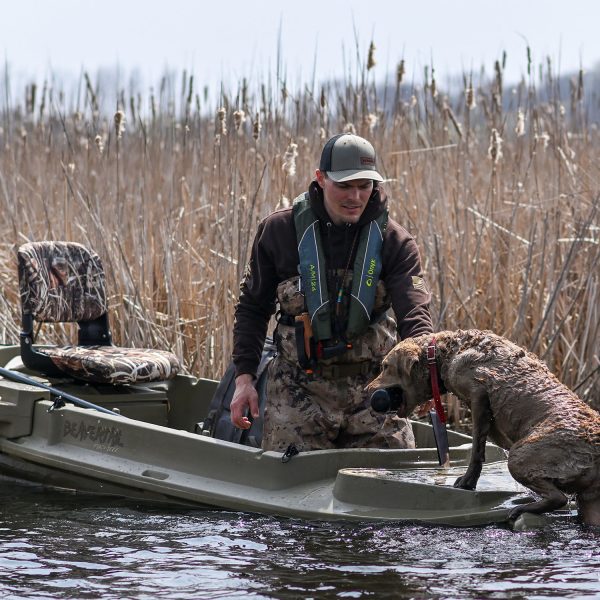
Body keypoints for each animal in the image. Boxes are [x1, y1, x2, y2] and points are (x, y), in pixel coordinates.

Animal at [366, 328, 600, 524]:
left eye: (385, 366)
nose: (367, 390)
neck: (445, 354)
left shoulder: (478, 395)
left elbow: (477, 449)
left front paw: (467, 481)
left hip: (520, 455)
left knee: (559, 498)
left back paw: (521, 509)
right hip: (590, 503)